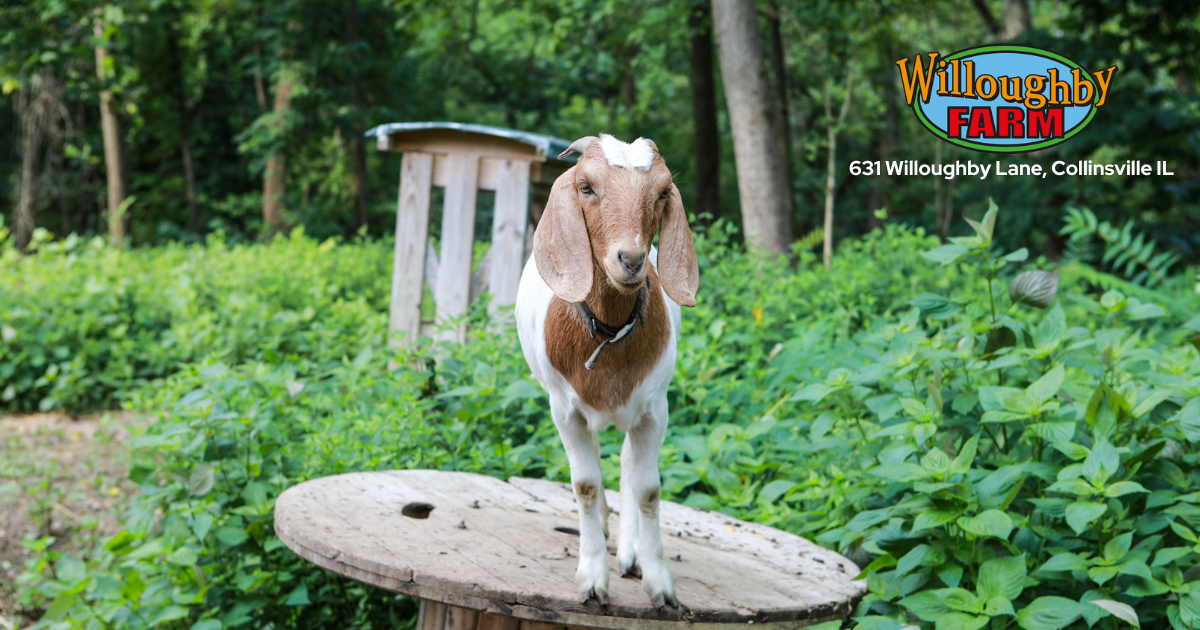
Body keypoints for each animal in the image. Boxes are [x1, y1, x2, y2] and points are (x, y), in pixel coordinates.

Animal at [511, 133, 700, 609]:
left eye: (662, 193)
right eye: (587, 187)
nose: (631, 260)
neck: (609, 334)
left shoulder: (655, 410)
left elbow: (648, 490)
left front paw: (660, 584)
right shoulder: (565, 411)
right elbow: (585, 485)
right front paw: (593, 579)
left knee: (629, 464)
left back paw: (630, 552)